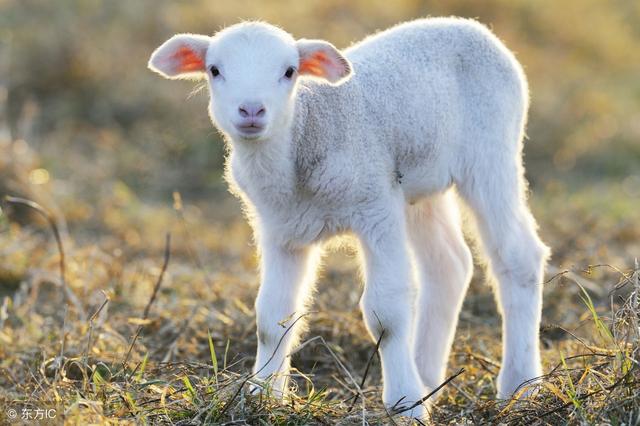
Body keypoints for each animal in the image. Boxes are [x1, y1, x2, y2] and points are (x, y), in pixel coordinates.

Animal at [149, 18, 552, 418]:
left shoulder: (376, 207)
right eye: (215, 70)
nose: (251, 111)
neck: (305, 135)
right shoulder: (280, 229)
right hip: (419, 186)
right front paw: (262, 395)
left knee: (519, 257)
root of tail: (471, 26)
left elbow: (386, 313)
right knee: (449, 266)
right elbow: (271, 317)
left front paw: (405, 404)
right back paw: (427, 379)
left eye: (289, 71)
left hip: (491, 154)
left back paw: (519, 386)